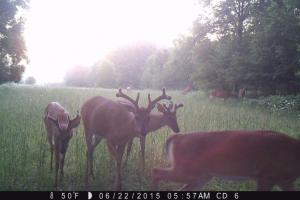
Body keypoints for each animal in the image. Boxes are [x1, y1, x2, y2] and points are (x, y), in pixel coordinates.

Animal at [151, 130, 300, 191]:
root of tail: (176, 137)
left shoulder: (286, 181)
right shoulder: (266, 176)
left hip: (202, 176)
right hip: (186, 170)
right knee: (155, 171)